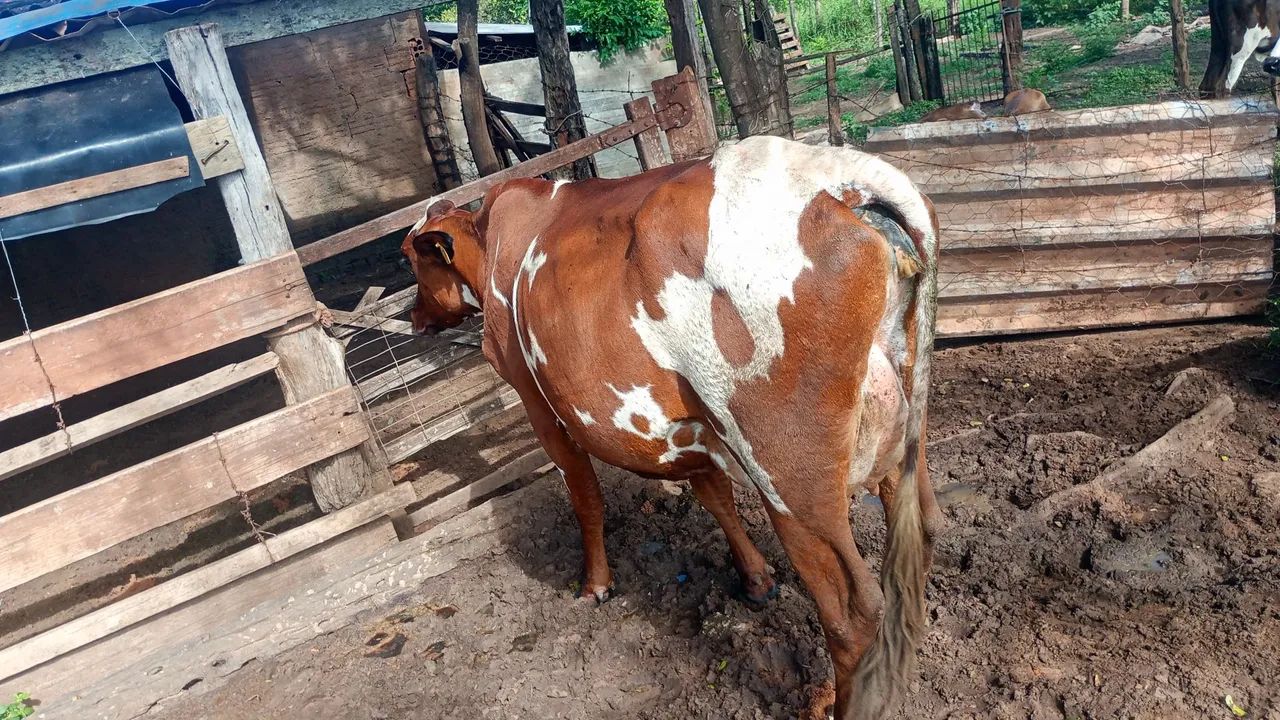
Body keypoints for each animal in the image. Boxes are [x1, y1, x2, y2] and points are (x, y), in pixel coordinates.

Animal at [402, 136, 942, 720]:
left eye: (412, 260)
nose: (413, 318)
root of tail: (833, 177)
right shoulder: (692, 423)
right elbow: (713, 492)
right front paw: (756, 579)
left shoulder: (537, 403)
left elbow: (585, 497)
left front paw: (595, 584)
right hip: (902, 434)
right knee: (922, 530)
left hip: (790, 477)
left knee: (851, 610)